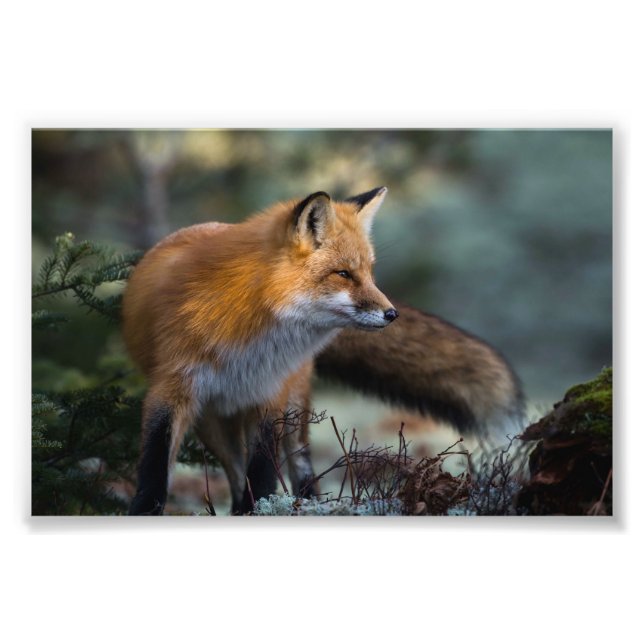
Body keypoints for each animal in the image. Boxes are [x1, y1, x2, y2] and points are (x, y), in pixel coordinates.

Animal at [122, 187, 524, 515]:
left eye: (370, 273)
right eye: (344, 274)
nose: (392, 313)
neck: (246, 337)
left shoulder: (269, 395)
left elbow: (263, 473)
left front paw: (259, 510)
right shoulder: (171, 389)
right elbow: (155, 466)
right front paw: (145, 510)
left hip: (292, 405)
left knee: (299, 464)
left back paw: (308, 503)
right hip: (212, 420)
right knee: (235, 473)